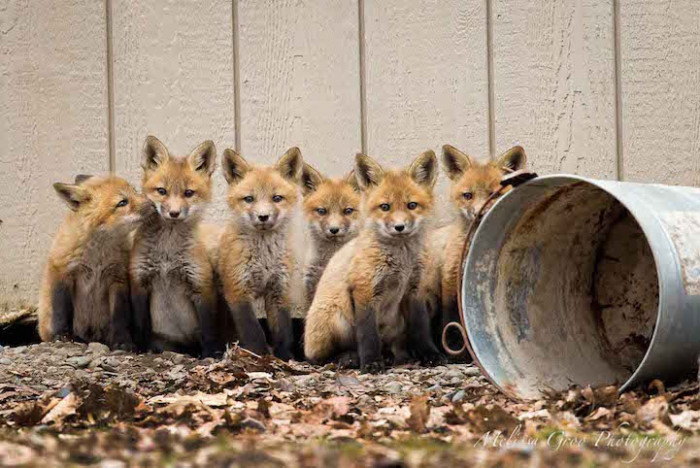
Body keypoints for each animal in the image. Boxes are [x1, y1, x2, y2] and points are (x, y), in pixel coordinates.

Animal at [37, 174, 144, 349]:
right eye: (122, 202)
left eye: (135, 191)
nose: (153, 204)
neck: (97, 256)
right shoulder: (62, 271)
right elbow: (60, 312)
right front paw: (61, 337)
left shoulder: (117, 277)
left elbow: (120, 317)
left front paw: (122, 341)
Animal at [129, 136, 221, 357]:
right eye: (162, 191)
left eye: (189, 193)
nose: (174, 213)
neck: (167, 254)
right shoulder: (139, 282)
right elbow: (140, 326)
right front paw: (140, 351)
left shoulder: (201, 284)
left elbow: (209, 331)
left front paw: (211, 356)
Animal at [218, 147, 303, 361]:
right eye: (249, 199)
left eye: (277, 198)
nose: (263, 216)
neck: (265, 258)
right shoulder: (238, 291)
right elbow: (254, 331)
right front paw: (259, 356)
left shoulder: (279, 290)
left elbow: (283, 331)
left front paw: (284, 357)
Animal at [420, 144, 526, 352]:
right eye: (468, 196)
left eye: (496, 194)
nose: (480, 212)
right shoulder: (451, 276)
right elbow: (451, 320)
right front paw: (455, 349)